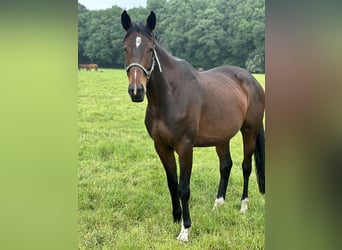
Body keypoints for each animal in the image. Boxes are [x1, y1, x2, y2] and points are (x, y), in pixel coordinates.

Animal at [121, 10, 266, 241]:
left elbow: (184, 188)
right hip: (222, 137)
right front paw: (176, 218)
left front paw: (185, 229)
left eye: (151, 49)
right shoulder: (161, 146)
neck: (169, 96)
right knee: (226, 165)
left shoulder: (185, 147)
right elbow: (172, 184)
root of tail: (252, 80)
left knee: (246, 167)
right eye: (125, 48)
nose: (136, 91)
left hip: (249, 132)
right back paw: (218, 204)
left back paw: (243, 206)